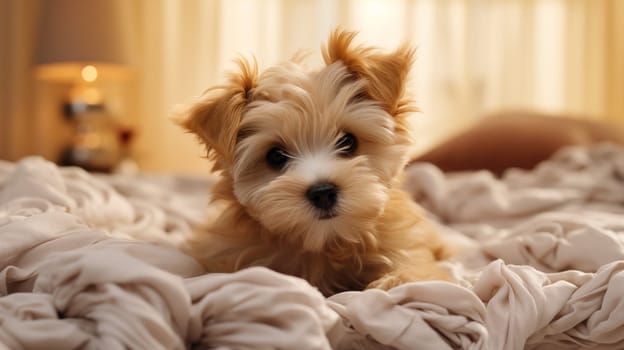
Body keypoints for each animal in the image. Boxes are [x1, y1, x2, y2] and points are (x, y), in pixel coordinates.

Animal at [179, 30, 448, 296]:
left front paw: (397, 281)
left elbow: (419, 271)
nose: (323, 193)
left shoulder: (406, 241)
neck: (324, 244)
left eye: (348, 141)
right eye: (275, 156)